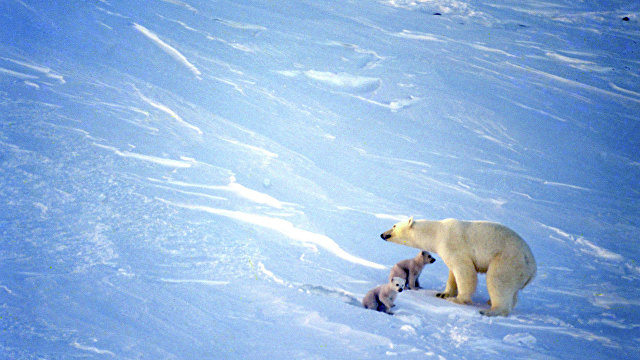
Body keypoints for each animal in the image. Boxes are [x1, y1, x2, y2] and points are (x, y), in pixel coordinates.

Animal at [380, 217, 536, 316]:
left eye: (394, 225)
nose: (382, 234)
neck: (437, 232)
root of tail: (532, 270)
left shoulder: (453, 245)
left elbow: (464, 271)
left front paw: (457, 299)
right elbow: (452, 274)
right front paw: (443, 293)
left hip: (507, 260)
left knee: (497, 280)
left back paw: (490, 310)